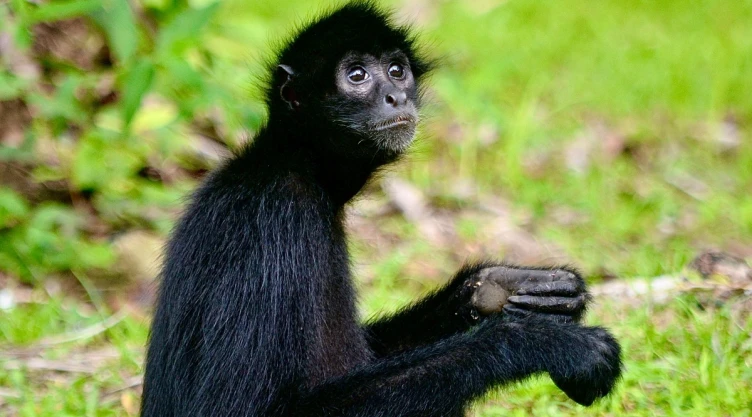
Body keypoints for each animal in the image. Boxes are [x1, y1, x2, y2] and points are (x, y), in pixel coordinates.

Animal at [140, 2, 621, 416]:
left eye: (396, 71)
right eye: (356, 75)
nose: (395, 96)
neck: (291, 160)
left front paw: (494, 287)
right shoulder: (273, 222)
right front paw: (537, 340)